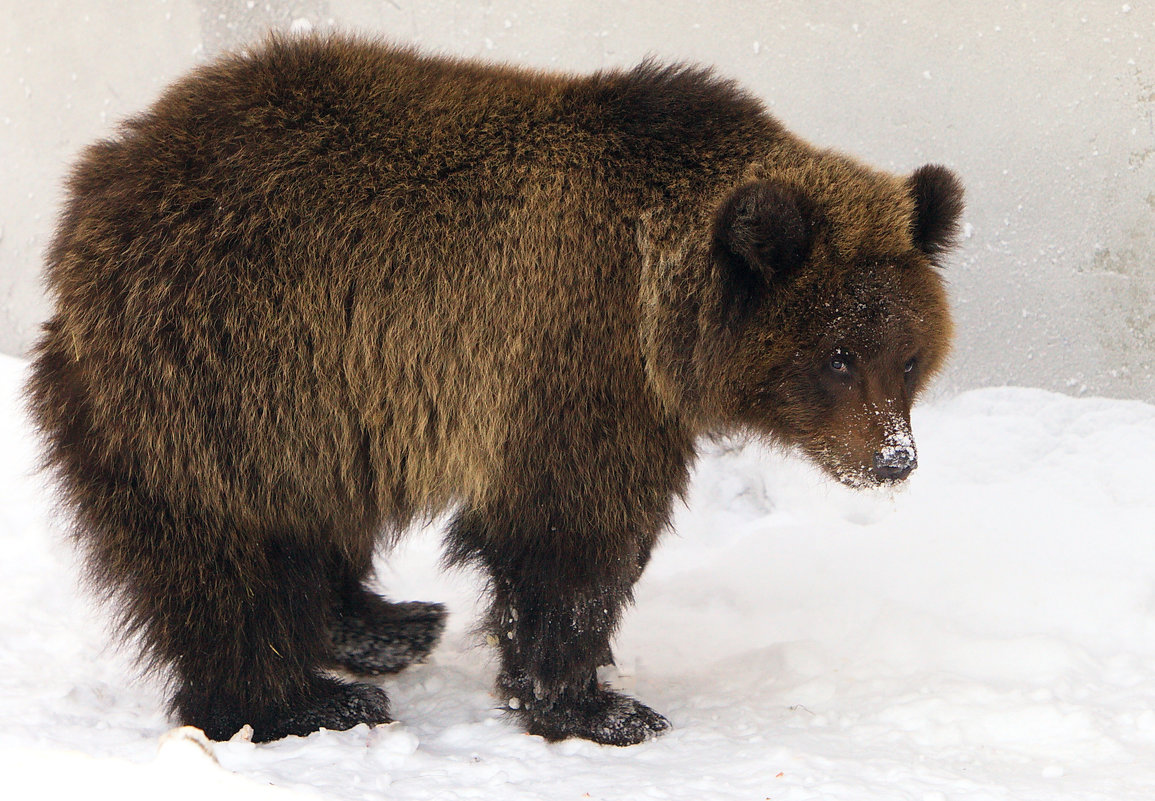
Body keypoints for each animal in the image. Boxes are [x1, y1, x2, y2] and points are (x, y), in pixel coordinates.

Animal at [27, 31, 960, 747]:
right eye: (837, 357)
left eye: (909, 356)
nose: (894, 459)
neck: (661, 314)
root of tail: (92, 195)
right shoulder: (573, 361)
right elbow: (569, 539)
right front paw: (595, 704)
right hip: (227, 368)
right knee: (223, 554)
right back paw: (303, 700)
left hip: (320, 407)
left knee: (312, 518)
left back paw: (383, 624)